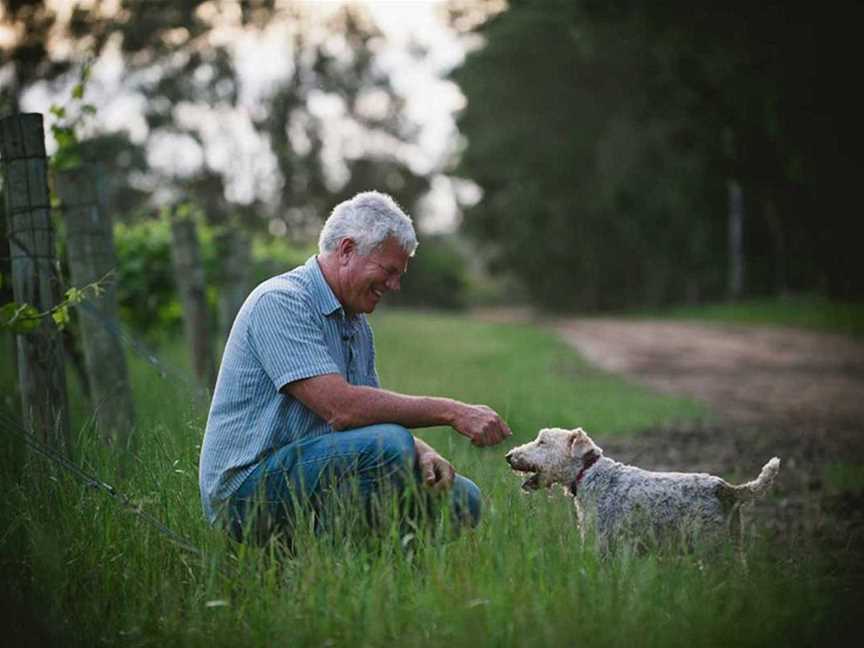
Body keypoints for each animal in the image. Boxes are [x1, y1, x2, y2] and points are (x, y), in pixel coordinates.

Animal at [506, 426, 784, 556]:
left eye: (542, 441)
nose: (509, 456)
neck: (589, 474)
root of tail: (728, 490)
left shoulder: (603, 543)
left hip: (711, 545)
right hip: (733, 545)